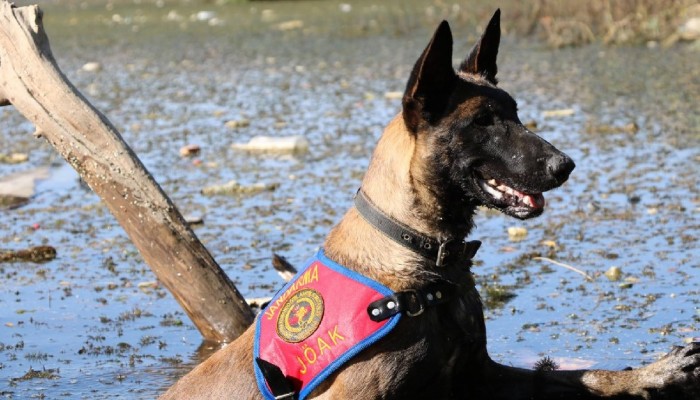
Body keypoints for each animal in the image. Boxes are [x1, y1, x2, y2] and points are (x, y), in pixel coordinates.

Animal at [161, 9, 696, 400]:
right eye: (483, 121)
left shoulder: (481, 375)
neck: (422, 256)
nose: (565, 165)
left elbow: (574, 376)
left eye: (516, 113)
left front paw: (647, 373)